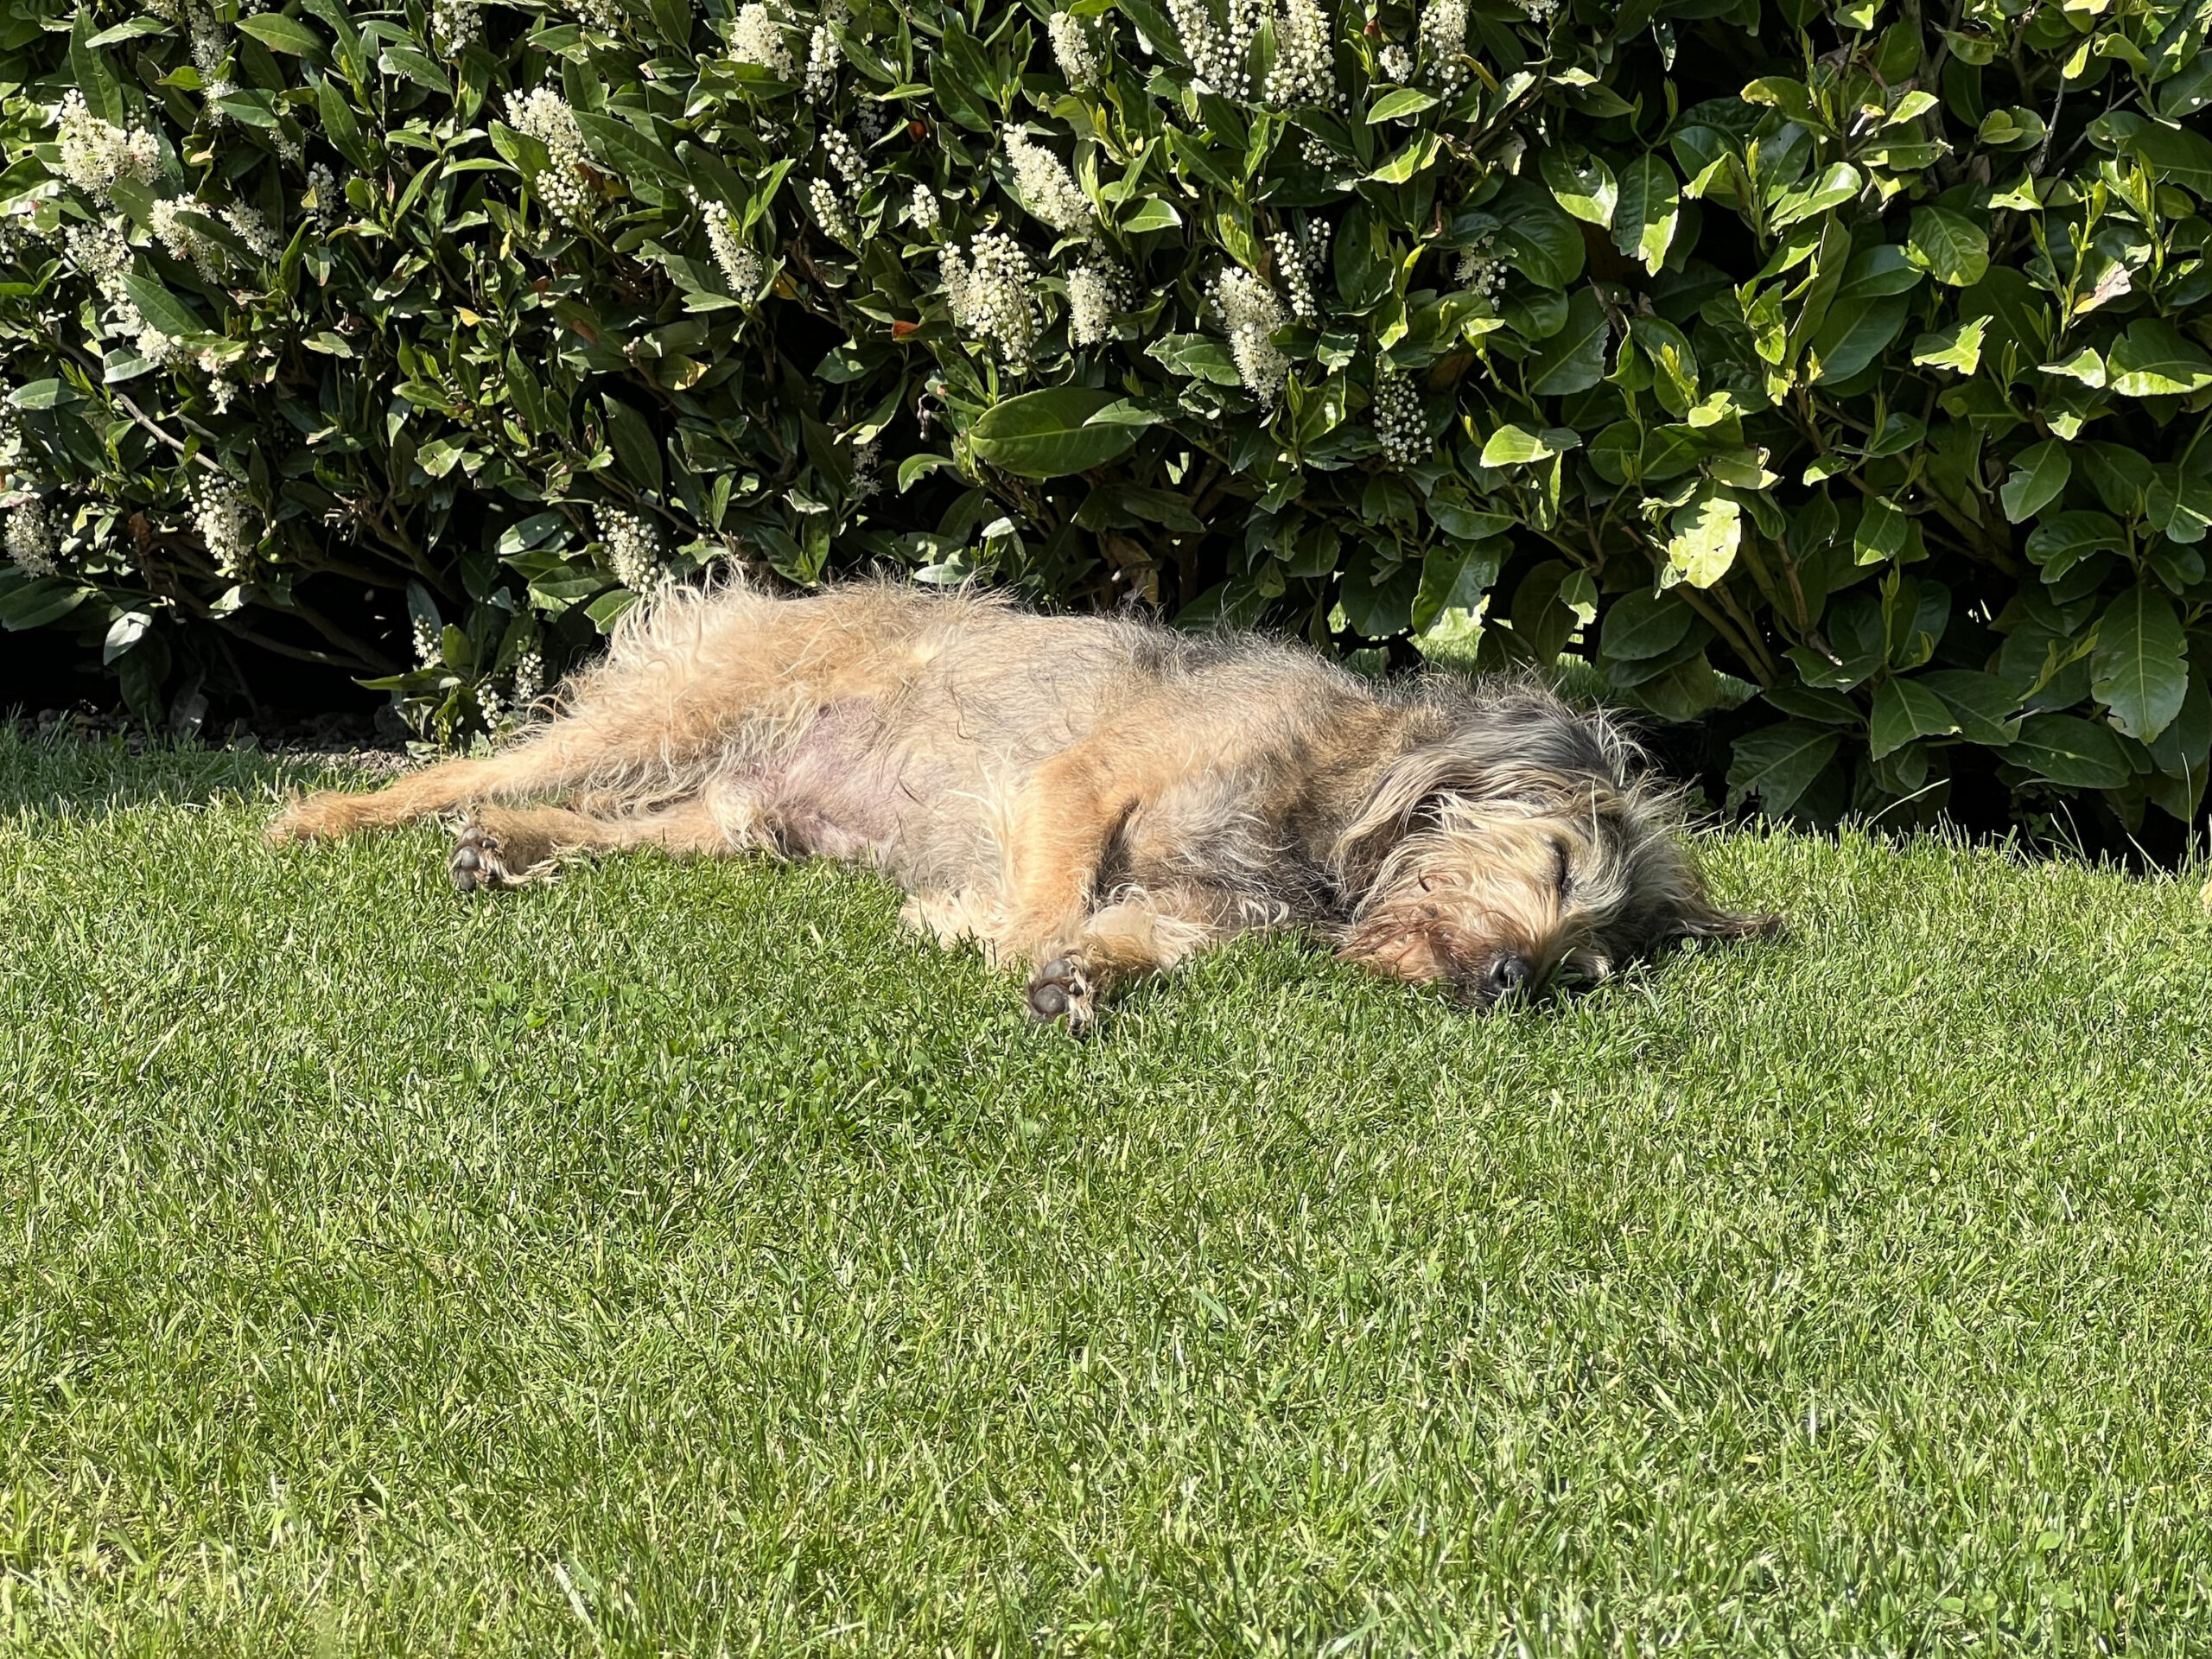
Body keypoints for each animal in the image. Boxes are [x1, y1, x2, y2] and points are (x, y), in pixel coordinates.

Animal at [267, 579, 1770, 1026]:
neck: (1333, 816)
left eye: (1588, 965)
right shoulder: (1081, 783)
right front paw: (998, 942)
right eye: (1559, 861)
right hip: (676, 709)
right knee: (477, 764)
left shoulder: (1200, 915)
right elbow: (1048, 895)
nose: (1518, 982)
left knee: (623, 829)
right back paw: (329, 817)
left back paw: (508, 856)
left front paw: (1079, 978)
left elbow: (1135, 939)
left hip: (735, 819)